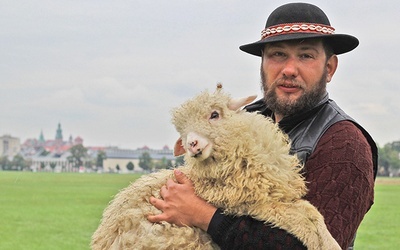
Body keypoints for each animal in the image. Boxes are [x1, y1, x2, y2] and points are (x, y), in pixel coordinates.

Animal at [91, 84, 340, 250]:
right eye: (182, 132)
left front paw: (330, 242)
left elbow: (312, 212)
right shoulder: (250, 203)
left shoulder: (272, 196)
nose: (191, 144)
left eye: (214, 114)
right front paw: (325, 243)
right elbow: (302, 218)